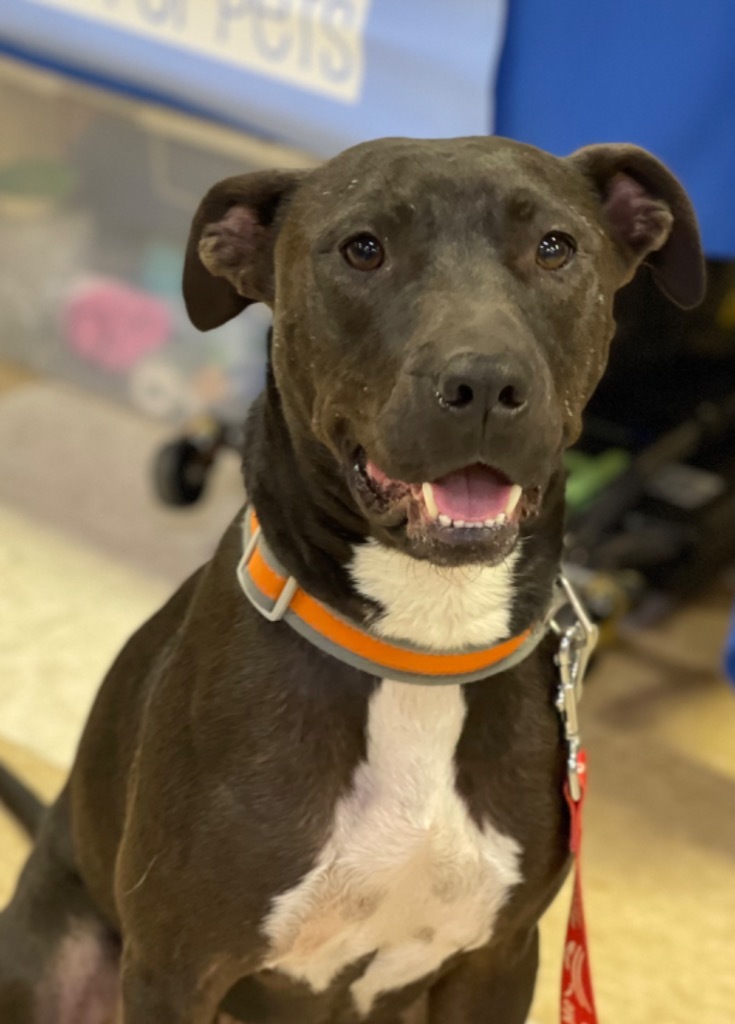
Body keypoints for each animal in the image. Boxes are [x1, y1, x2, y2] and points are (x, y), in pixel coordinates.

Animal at [0, 136, 704, 1024]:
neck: (421, 646)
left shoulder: (500, 959)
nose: (483, 383)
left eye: (555, 246)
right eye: (362, 249)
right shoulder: (173, 968)